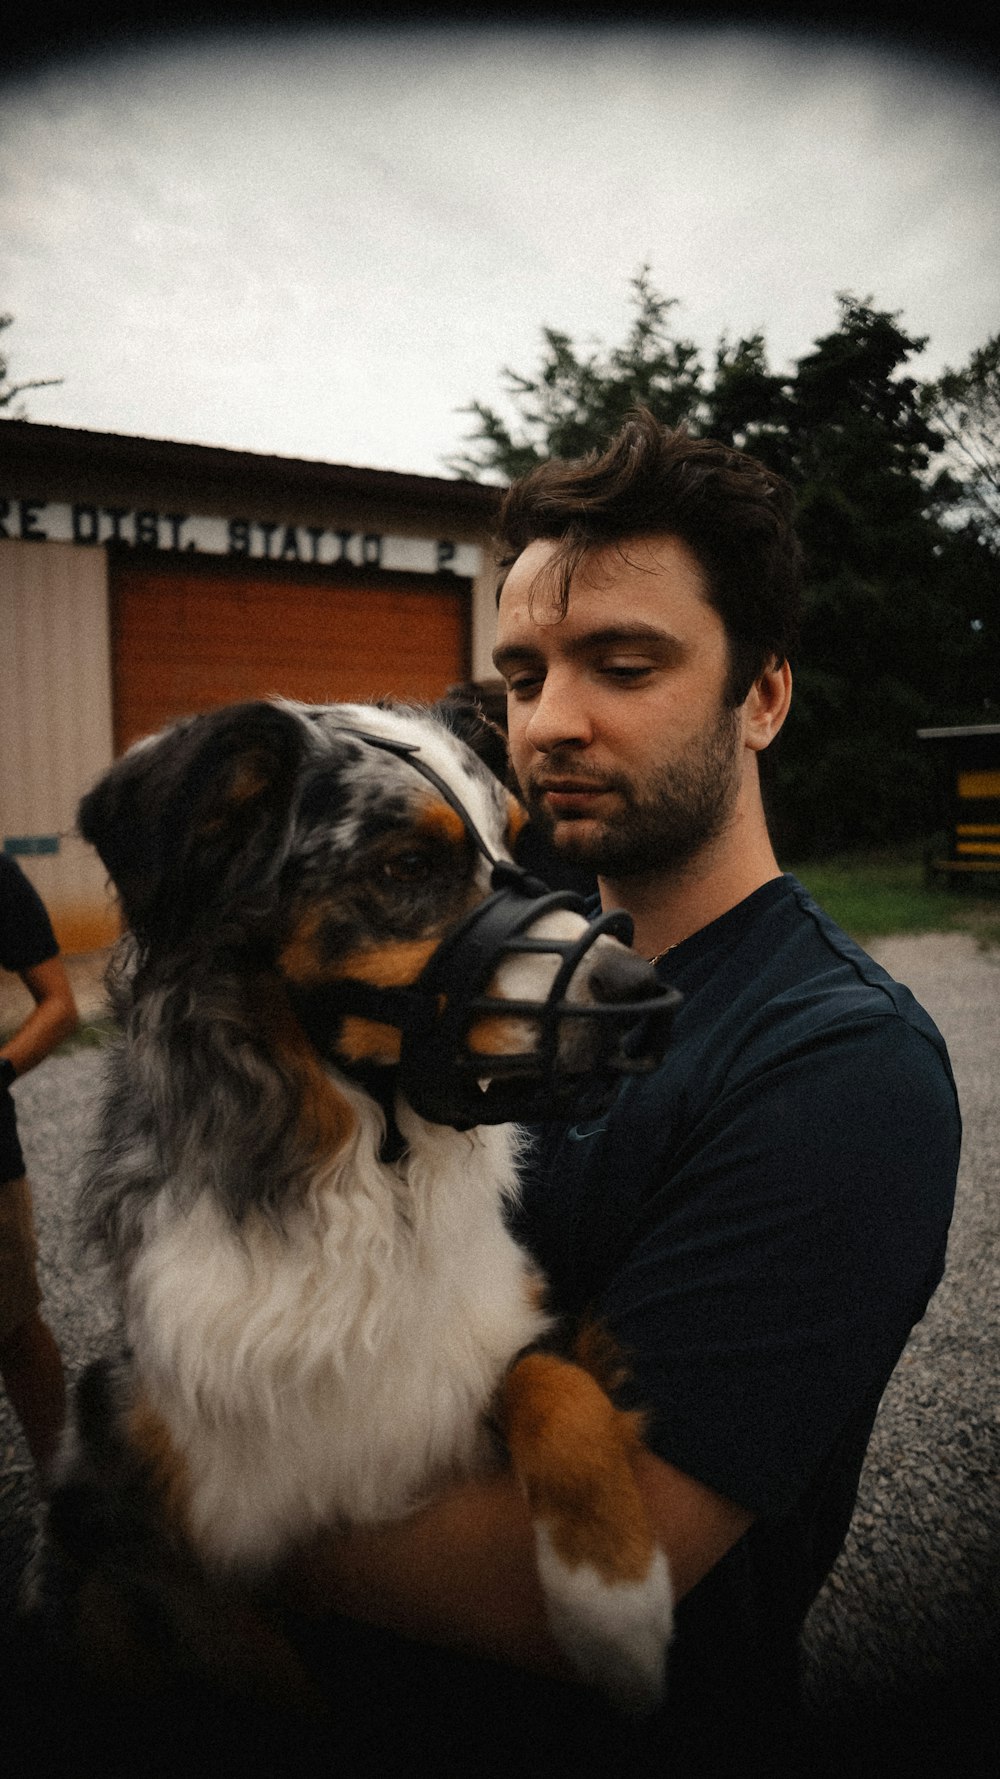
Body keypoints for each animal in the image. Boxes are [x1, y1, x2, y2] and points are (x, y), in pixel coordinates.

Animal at [31, 697, 672, 1750]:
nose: (647, 999)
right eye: (407, 866)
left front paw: (615, 1599)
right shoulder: (149, 1496)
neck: (372, 1179)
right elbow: (260, 1656)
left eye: (521, 844)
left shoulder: (502, 1327)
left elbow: (552, 1383)